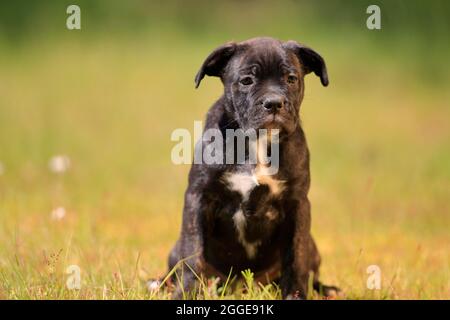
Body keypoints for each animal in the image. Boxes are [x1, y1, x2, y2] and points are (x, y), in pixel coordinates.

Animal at [165, 37, 338, 300]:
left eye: (291, 78)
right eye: (247, 80)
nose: (274, 103)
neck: (257, 141)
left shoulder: (297, 204)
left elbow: (296, 256)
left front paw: (295, 295)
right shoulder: (199, 197)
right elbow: (194, 252)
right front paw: (187, 293)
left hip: (313, 247)